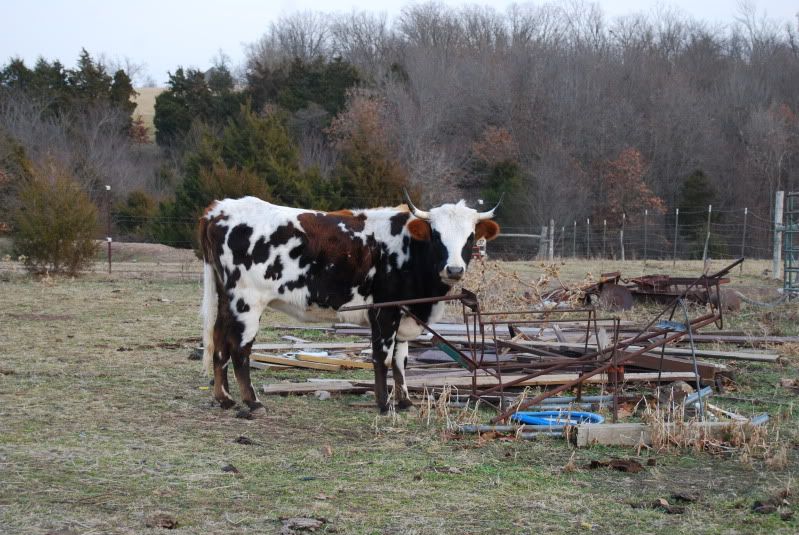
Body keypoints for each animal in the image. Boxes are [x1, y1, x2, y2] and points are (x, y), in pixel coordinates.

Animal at [198, 192, 501, 413]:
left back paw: (224, 398)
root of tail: (219, 209)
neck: (409, 249)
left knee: (219, 343)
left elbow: (401, 361)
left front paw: (404, 401)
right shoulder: (384, 312)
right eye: (436, 236)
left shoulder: (405, 312)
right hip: (247, 302)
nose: (454, 270)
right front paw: (384, 403)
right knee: (240, 350)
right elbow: (383, 357)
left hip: (226, 301)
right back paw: (252, 402)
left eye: (470, 237)